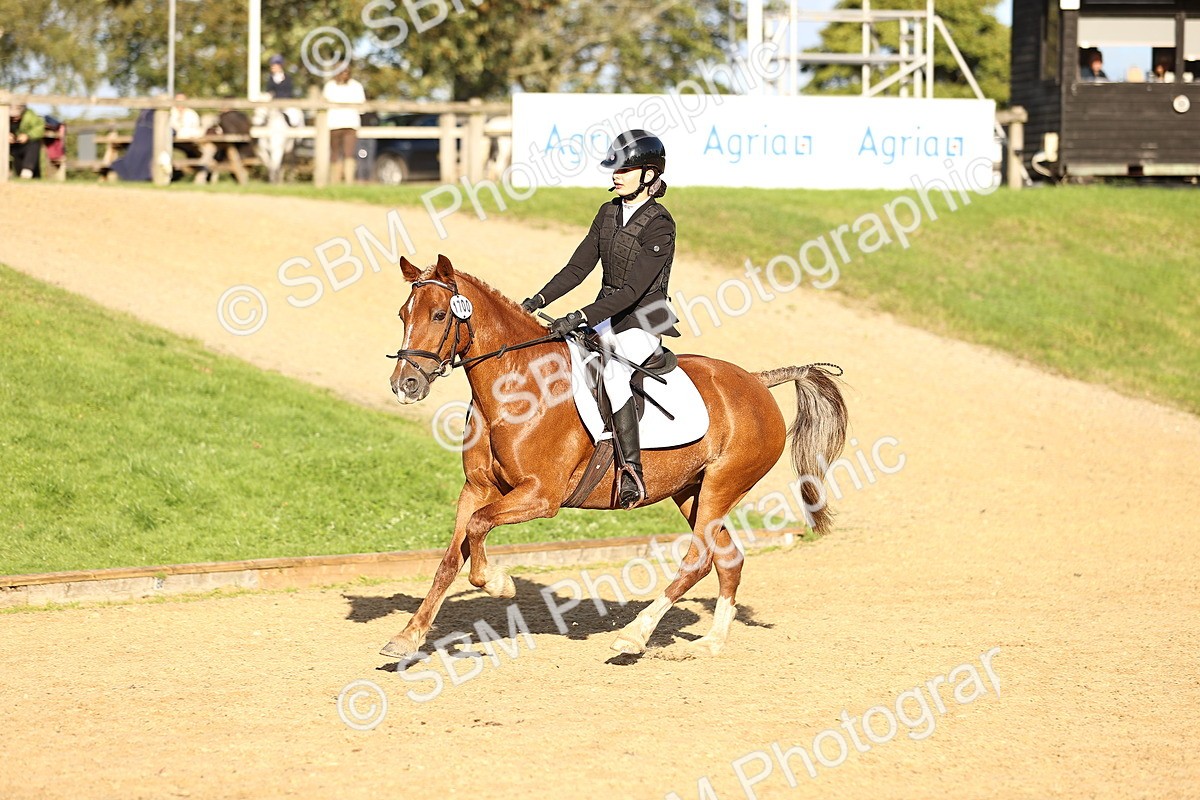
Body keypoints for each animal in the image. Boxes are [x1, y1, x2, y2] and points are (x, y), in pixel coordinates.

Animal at [382, 255, 848, 658]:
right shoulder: (476, 488)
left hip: (722, 485)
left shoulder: (540, 495)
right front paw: (407, 637)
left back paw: (633, 635)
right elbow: (451, 557)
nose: (405, 385)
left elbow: (478, 530)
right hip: (691, 493)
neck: (515, 388)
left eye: (439, 316)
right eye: (403, 315)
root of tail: (754, 380)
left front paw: (500, 583)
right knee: (728, 559)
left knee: (697, 561)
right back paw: (710, 643)